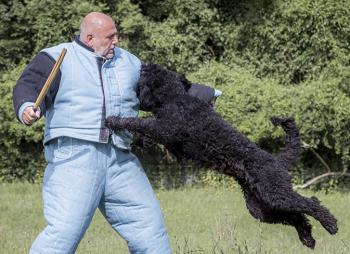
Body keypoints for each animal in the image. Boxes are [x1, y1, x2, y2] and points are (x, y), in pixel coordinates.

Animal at [106, 63, 336, 248]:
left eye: (147, 72)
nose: (143, 64)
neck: (175, 98)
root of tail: (276, 160)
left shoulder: (162, 127)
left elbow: (137, 122)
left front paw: (113, 120)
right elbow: (142, 131)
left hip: (276, 193)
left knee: (311, 203)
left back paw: (331, 224)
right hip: (261, 207)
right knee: (297, 216)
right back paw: (308, 238)